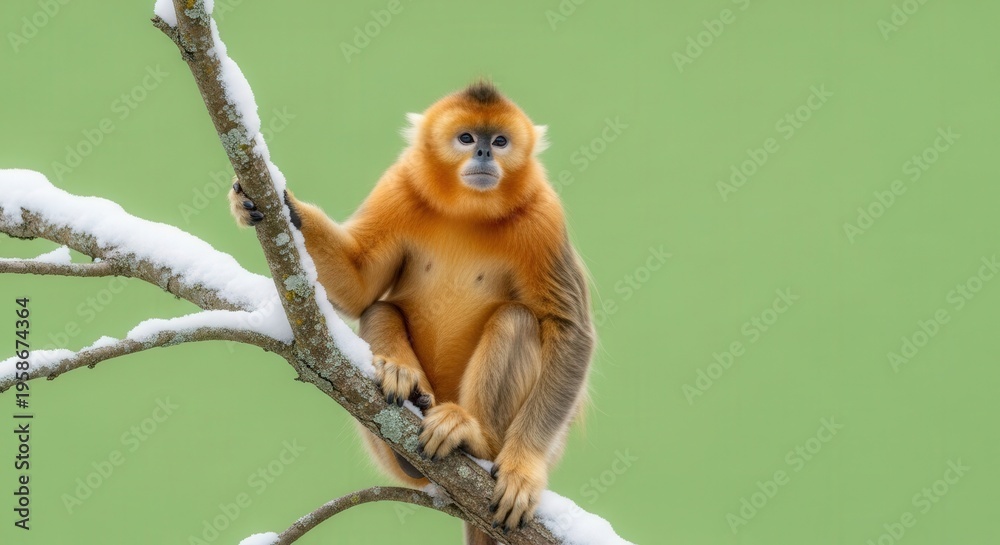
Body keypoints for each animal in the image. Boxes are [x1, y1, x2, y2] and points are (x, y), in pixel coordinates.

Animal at [229, 81, 594, 544]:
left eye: (500, 141)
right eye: (466, 138)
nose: (484, 154)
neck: (467, 210)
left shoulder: (544, 214)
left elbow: (571, 331)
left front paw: (523, 470)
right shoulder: (399, 187)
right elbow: (361, 287)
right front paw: (269, 201)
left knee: (517, 320)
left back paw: (473, 439)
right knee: (380, 310)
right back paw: (404, 384)